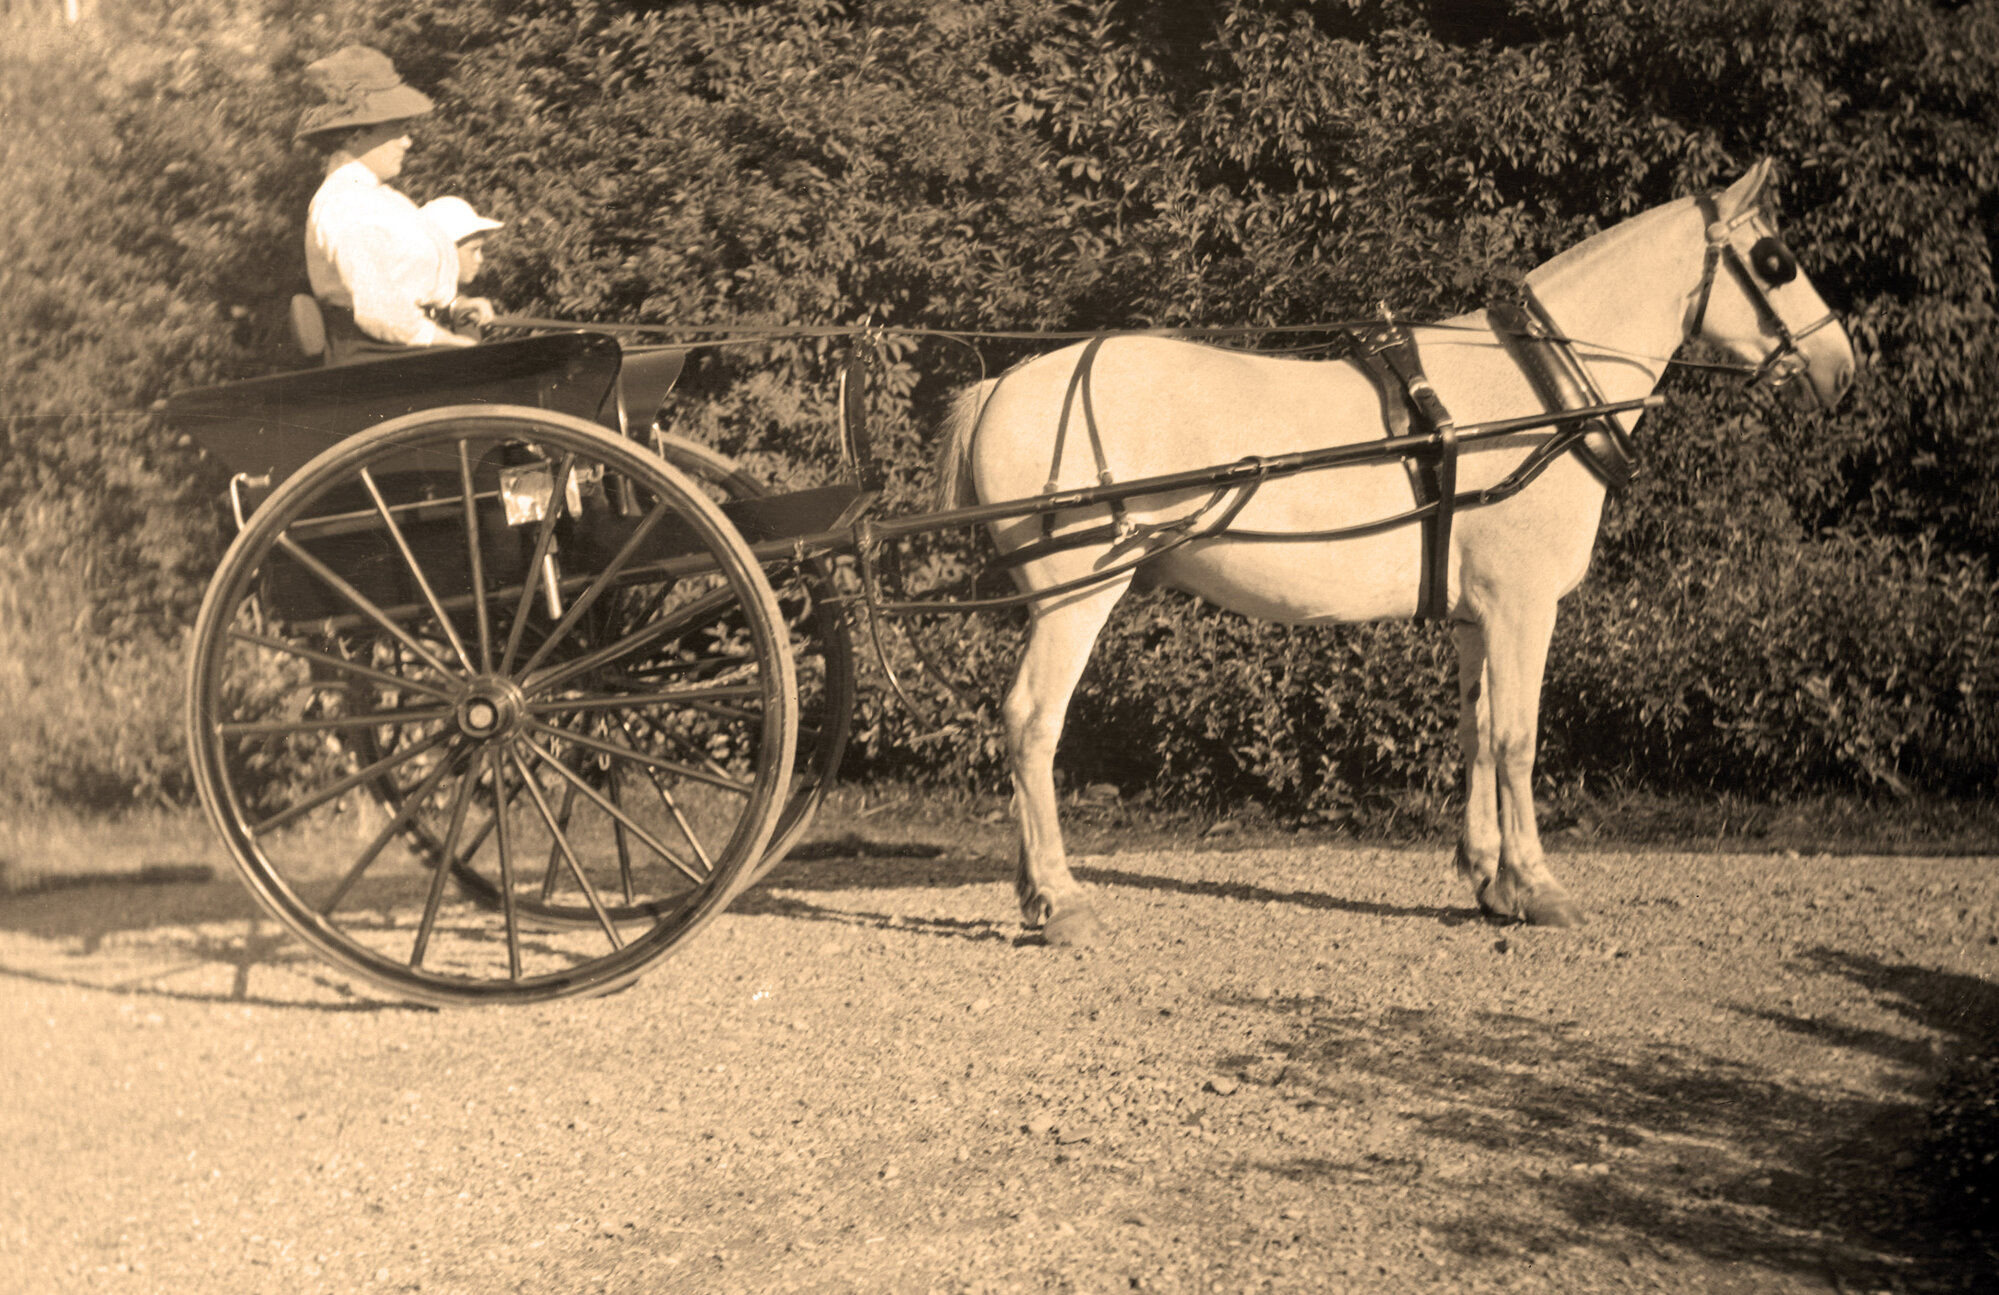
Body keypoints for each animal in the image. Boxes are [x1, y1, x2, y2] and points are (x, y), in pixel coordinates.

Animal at [933, 159, 1856, 945]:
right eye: (1775, 260)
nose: (1841, 368)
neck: (1535, 395)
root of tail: (999, 386)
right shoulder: (1521, 606)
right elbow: (1517, 738)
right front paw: (1539, 885)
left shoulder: (1476, 616)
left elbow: (1477, 731)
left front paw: (1491, 881)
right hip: (1076, 595)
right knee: (1031, 720)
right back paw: (1058, 899)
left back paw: (1034, 891)